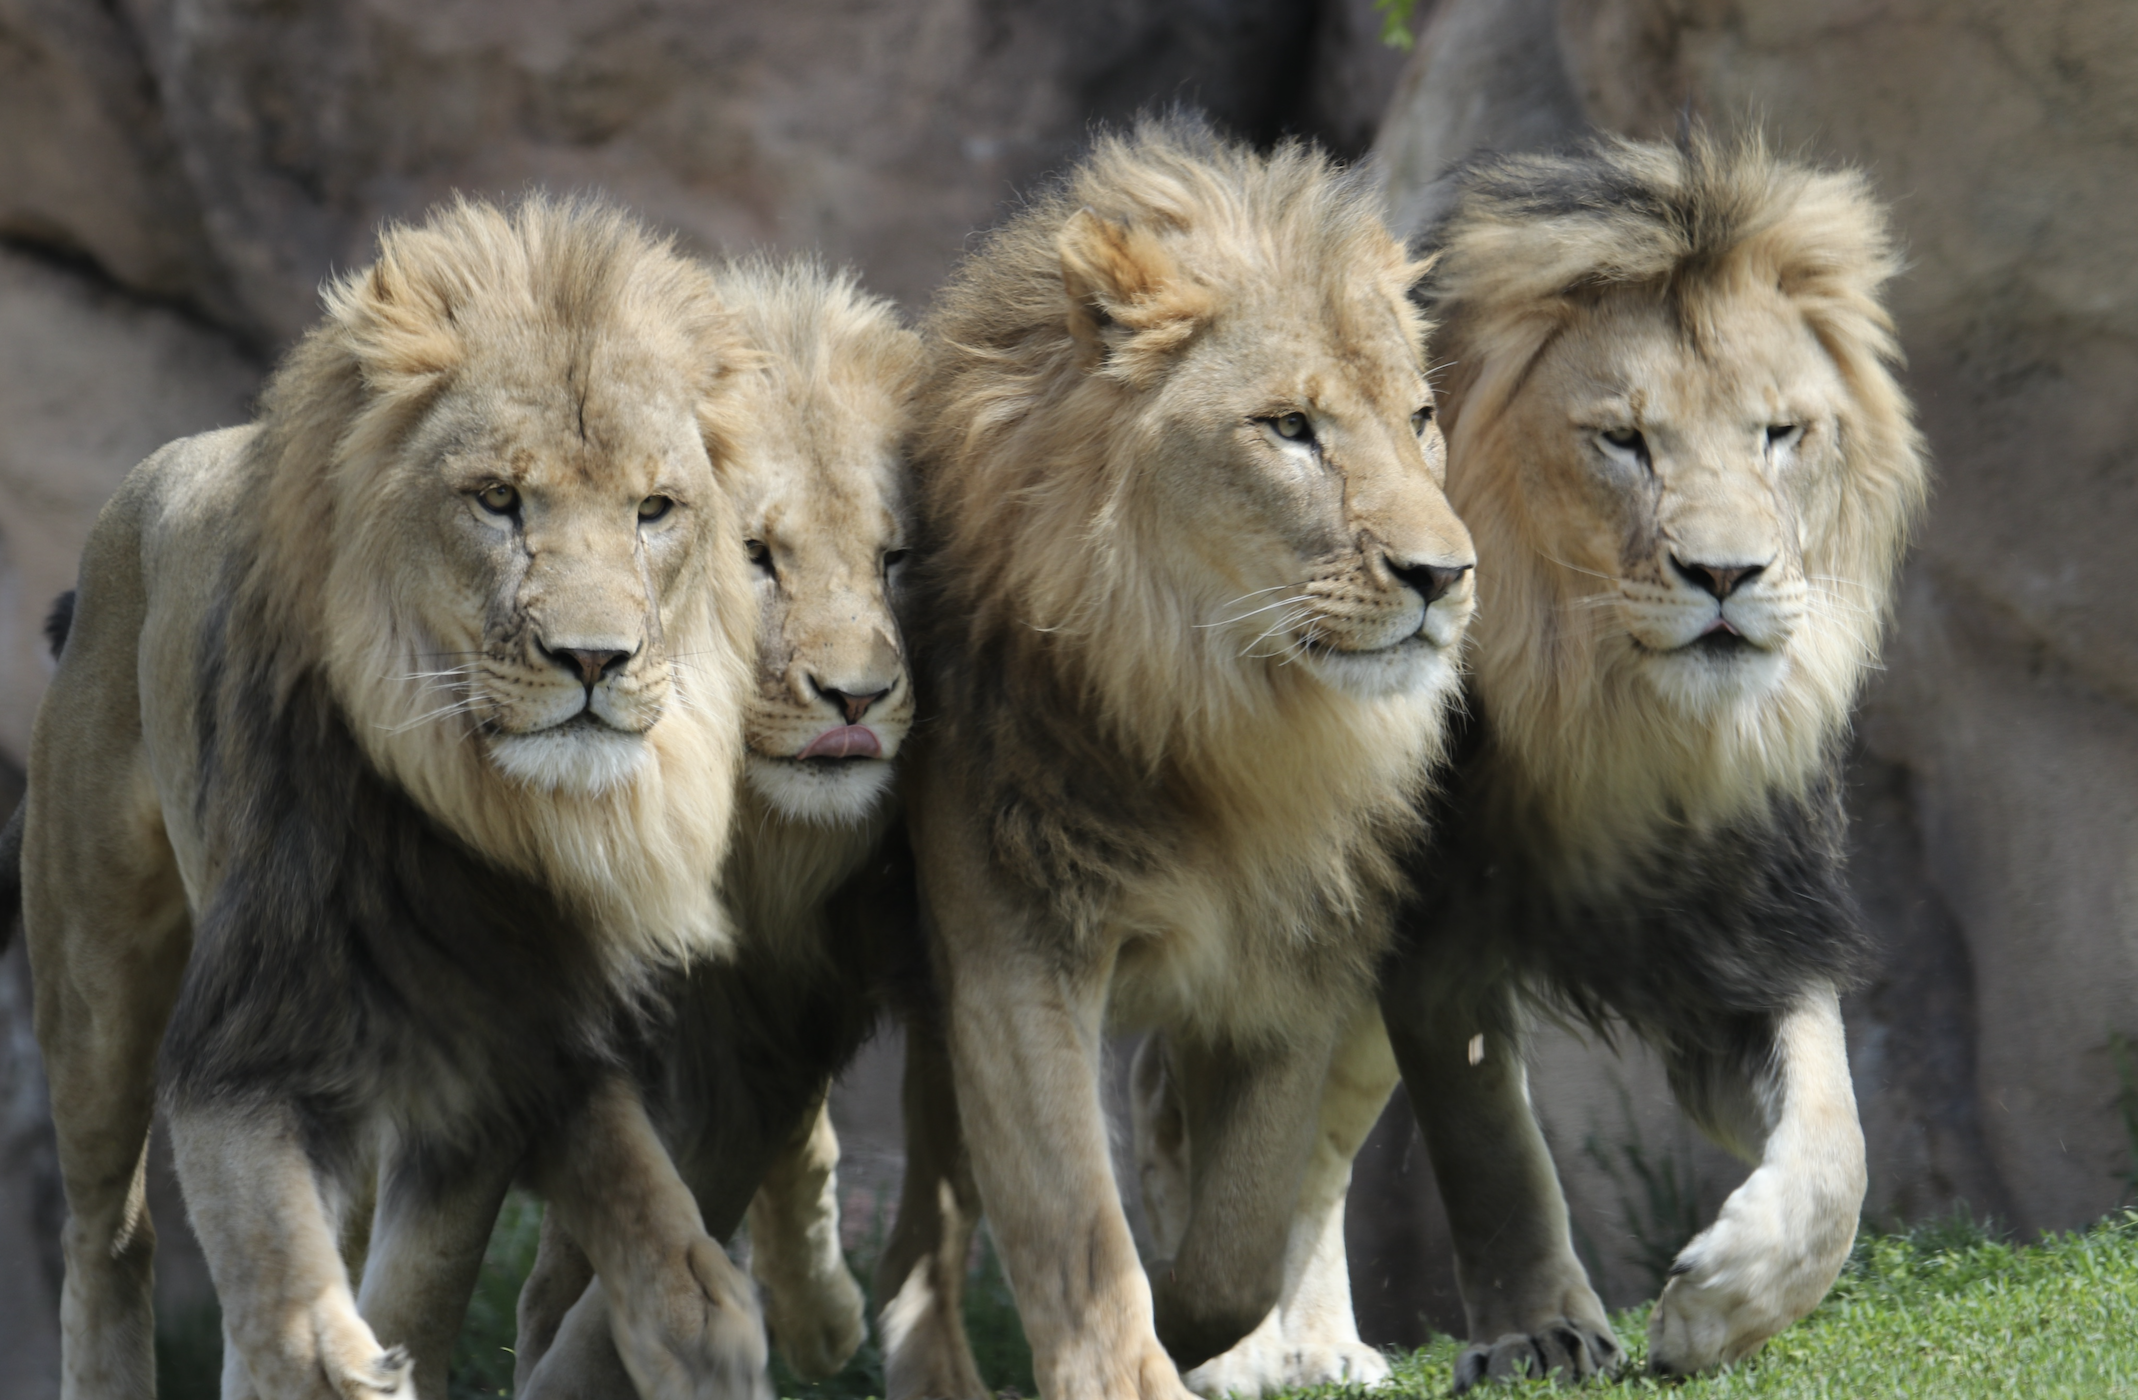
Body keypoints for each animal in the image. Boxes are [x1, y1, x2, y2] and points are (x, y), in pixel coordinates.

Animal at [19, 197, 772, 1400]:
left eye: (656, 510)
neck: (482, 829)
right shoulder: (245, 1045)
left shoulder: (494, 1075)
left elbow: (418, 1286)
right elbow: (283, 1283)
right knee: (107, 1236)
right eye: (498, 500)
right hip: (96, 976)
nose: (595, 659)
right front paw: (330, 1360)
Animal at [900, 115, 1476, 1400]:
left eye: (1418, 418)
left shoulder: (1308, 952)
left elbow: (1249, 1211)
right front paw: (1133, 1365)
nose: (1442, 574)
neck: (1221, 712)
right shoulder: (1014, 943)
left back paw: (1312, 1344)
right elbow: (1073, 1216)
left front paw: (1219, 1329)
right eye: (1288, 428)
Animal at [1140, 131, 1928, 1392]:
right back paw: (1239, 1349)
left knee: (1310, 1138)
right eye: (1622, 439)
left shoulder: (1750, 926)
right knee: (1183, 1108)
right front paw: (1541, 1330)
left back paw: (1319, 1342)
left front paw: (1725, 1299)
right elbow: (1489, 1141)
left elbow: (1833, 1133)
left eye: (1778, 433)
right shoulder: (1433, 934)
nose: (1726, 575)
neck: (1617, 720)